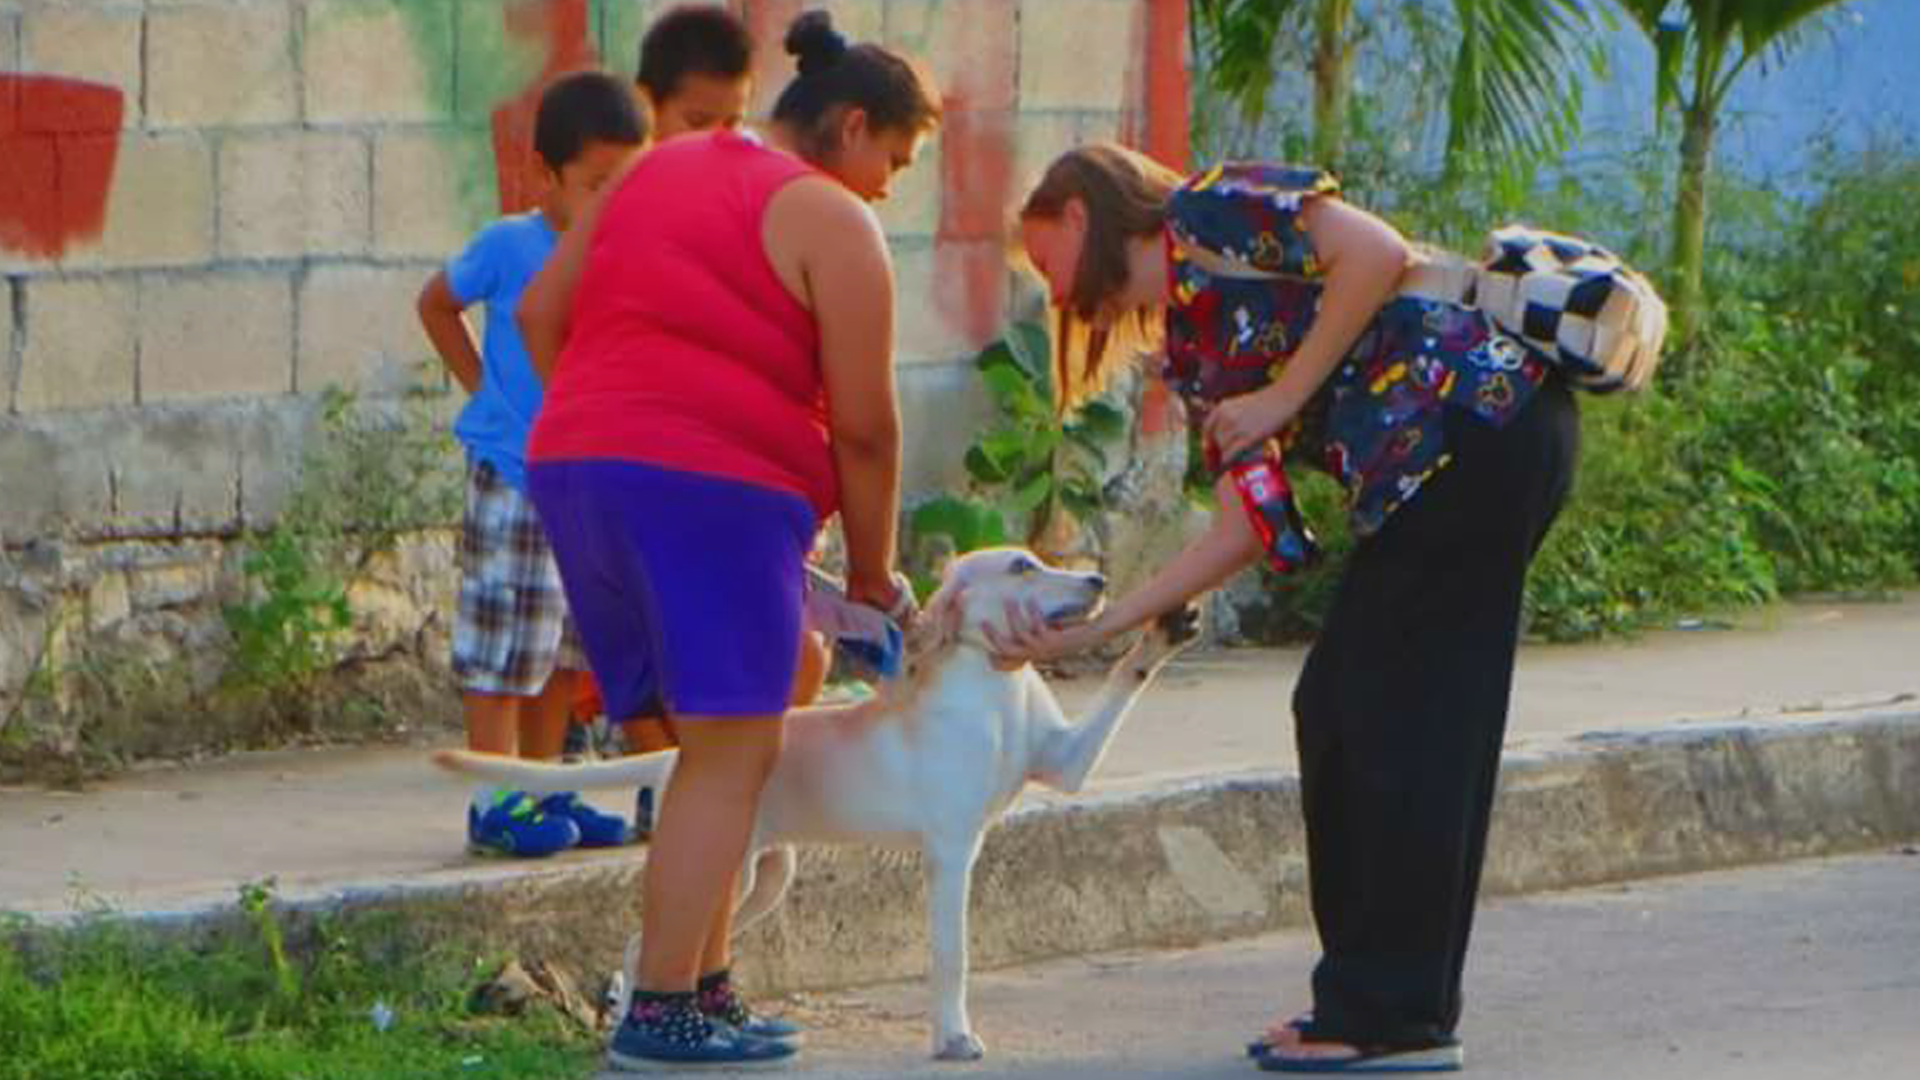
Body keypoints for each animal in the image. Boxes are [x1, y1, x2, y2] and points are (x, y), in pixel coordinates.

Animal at [435, 549, 1190, 1053]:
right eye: (1023, 566)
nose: (1097, 581)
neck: (991, 680)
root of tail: (677, 757)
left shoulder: (1066, 765)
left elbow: (1126, 677)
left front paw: (1163, 628)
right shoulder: (951, 854)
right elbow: (952, 956)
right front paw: (953, 1037)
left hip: (766, 878)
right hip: (729, 869)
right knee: (639, 941)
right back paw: (633, 1028)